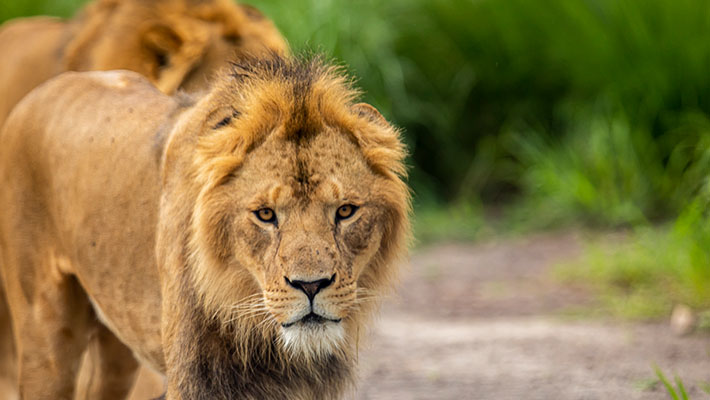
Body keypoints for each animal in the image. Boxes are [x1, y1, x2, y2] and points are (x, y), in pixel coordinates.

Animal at [0, 54, 412, 400]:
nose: (310, 285)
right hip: (44, 337)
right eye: (265, 215)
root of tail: (41, 90)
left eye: (345, 211)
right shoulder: (196, 380)